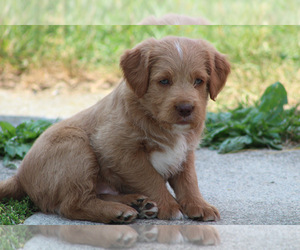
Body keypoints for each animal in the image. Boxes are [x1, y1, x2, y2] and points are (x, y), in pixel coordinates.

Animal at [0, 36, 230, 225]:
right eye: (164, 81)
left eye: (199, 81)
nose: (185, 108)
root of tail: (19, 176)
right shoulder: (120, 151)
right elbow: (152, 178)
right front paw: (170, 206)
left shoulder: (185, 152)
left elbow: (189, 181)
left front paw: (199, 205)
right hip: (76, 146)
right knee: (73, 204)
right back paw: (119, 211)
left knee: (94, 194)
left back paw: (136, 203)